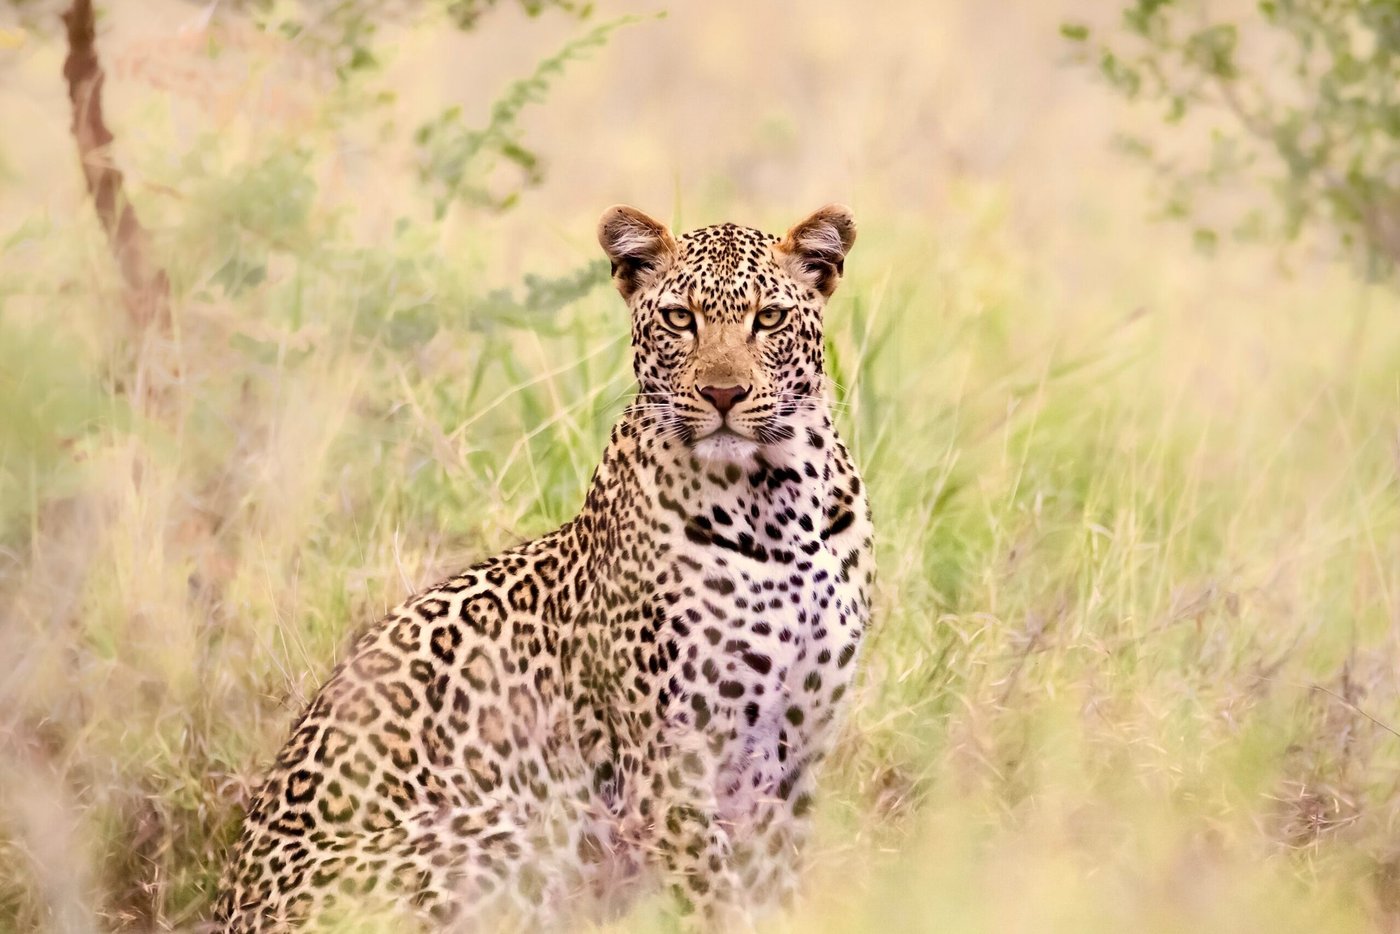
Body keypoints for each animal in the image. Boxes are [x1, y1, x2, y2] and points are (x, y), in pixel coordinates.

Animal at [213, 204, 875, 932]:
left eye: (769, 318)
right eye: (680, 319)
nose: (723, 392)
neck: (778, 509)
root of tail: (230, 909)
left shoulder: (796, 760)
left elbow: (777, 891)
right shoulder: (670, 768)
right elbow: (718, 903)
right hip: (508, 835)